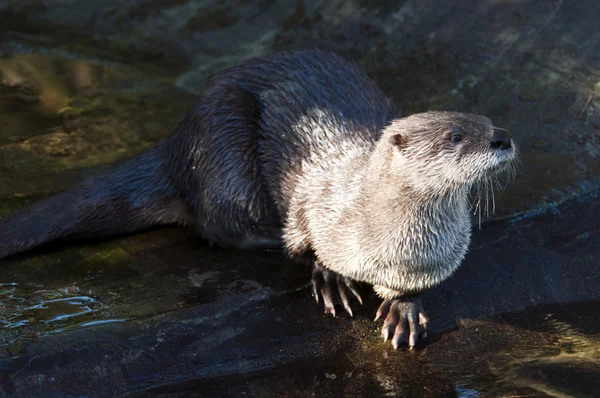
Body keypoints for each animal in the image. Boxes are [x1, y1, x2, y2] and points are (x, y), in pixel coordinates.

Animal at [0, 49, 516, 348]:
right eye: (455, 136)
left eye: (487, 121)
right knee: (216, 225)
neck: (392, 247)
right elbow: (305, 237)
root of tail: (177, 141)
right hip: (224, 147)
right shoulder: (316, 199)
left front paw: (404, 310)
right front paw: (329, 277)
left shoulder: (436, 260)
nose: (504, 137)